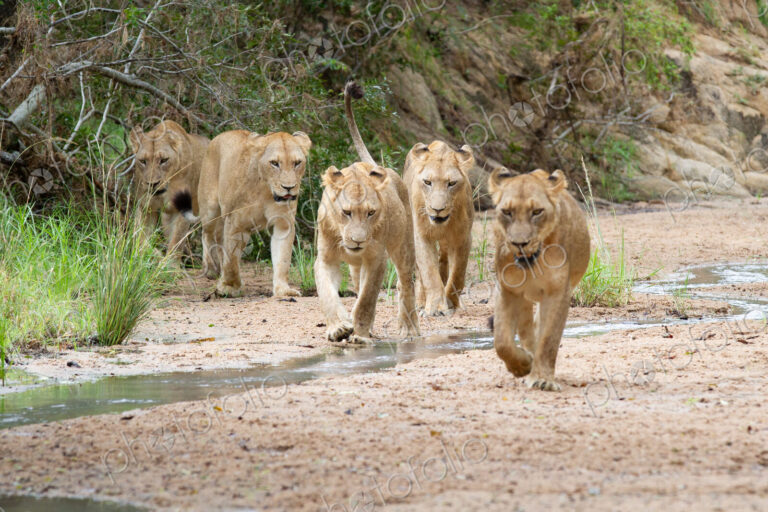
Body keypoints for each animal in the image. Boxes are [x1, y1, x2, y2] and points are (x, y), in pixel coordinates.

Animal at [129, 120, 209, 260]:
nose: (153, 184)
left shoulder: (182, 209)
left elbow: (176, 243)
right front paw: (152, 256)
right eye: (143, 161)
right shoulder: (146, 207)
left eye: (164, 160)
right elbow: (140, 239)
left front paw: (168, 264)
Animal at [172, 130, 312, 298]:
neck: (266, 191)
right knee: (207, 235)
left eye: (297, 163)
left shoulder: (283, 224)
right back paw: (211, 270)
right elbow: (232, 260)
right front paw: (229, 288)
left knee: (219, 241)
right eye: (274, 163)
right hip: (210, 209)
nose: (289, 187)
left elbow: (283, 259)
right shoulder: (236, 223)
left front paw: (283, 290)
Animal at [314, 82, 420, 342]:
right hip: (356, 266)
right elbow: (327, 294)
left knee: (406, 284)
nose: (358, 241)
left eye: (371, 213)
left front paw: (360, 334)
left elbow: (367, 298)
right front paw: (339, 328)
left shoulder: (376, 258)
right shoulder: (325, 258)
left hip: (404, 247)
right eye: (346, 212)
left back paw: (409, 329)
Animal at [403, 140, 475, 316]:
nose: (438, 209)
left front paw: (450, 303)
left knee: (443, 261)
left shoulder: (463, 238)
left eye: (452, 183)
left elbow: (457, 274)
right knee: (420, 274)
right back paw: (420, 303)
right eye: (427, 182)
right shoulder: (420, 236)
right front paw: (434, 308)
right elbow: (429, 272)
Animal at [488, 168, 590, 391]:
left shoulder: (558, 292)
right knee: (527, 329)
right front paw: (522, 366)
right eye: (507, 212)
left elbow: (549, 339)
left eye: (537, 212)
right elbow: (502, 341)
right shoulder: (507, 289)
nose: (519, 243)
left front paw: (543, 379)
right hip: (524, 298)